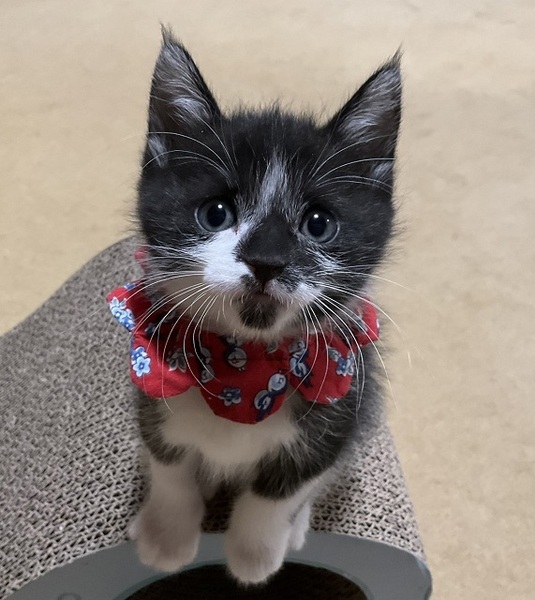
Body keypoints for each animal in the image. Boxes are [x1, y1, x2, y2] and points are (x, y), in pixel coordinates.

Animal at [120, 29, 401, 585]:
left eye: (319, 224)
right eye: (215, 213)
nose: (267, 261)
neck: (244, 369)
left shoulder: (341, 409)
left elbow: (281, 491)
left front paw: (254, 555)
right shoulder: (150, 384)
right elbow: (169, 463)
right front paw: (167, 538)